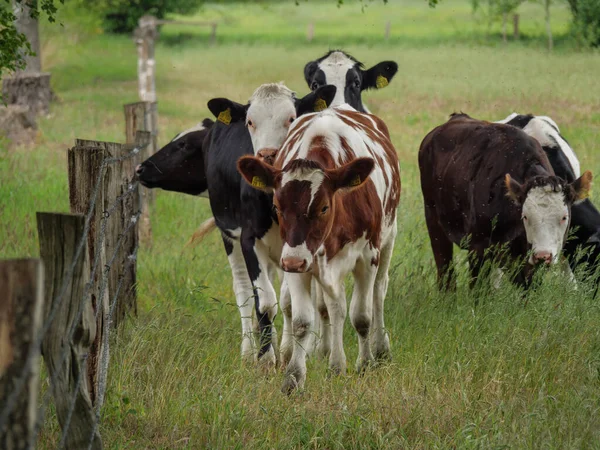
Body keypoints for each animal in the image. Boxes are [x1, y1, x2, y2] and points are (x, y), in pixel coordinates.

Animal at [237, 106, 400, 394]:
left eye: (324, 207)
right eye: (277, 207)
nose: (293, 262)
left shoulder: (366, 258)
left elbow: (362, 316)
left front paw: (365, 364)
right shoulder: (297, 260)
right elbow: (304, 321)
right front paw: (294, 377)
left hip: (388, 239)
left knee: (378, 293)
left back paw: (379, 349)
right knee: (332, 307)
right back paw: (333, 361)